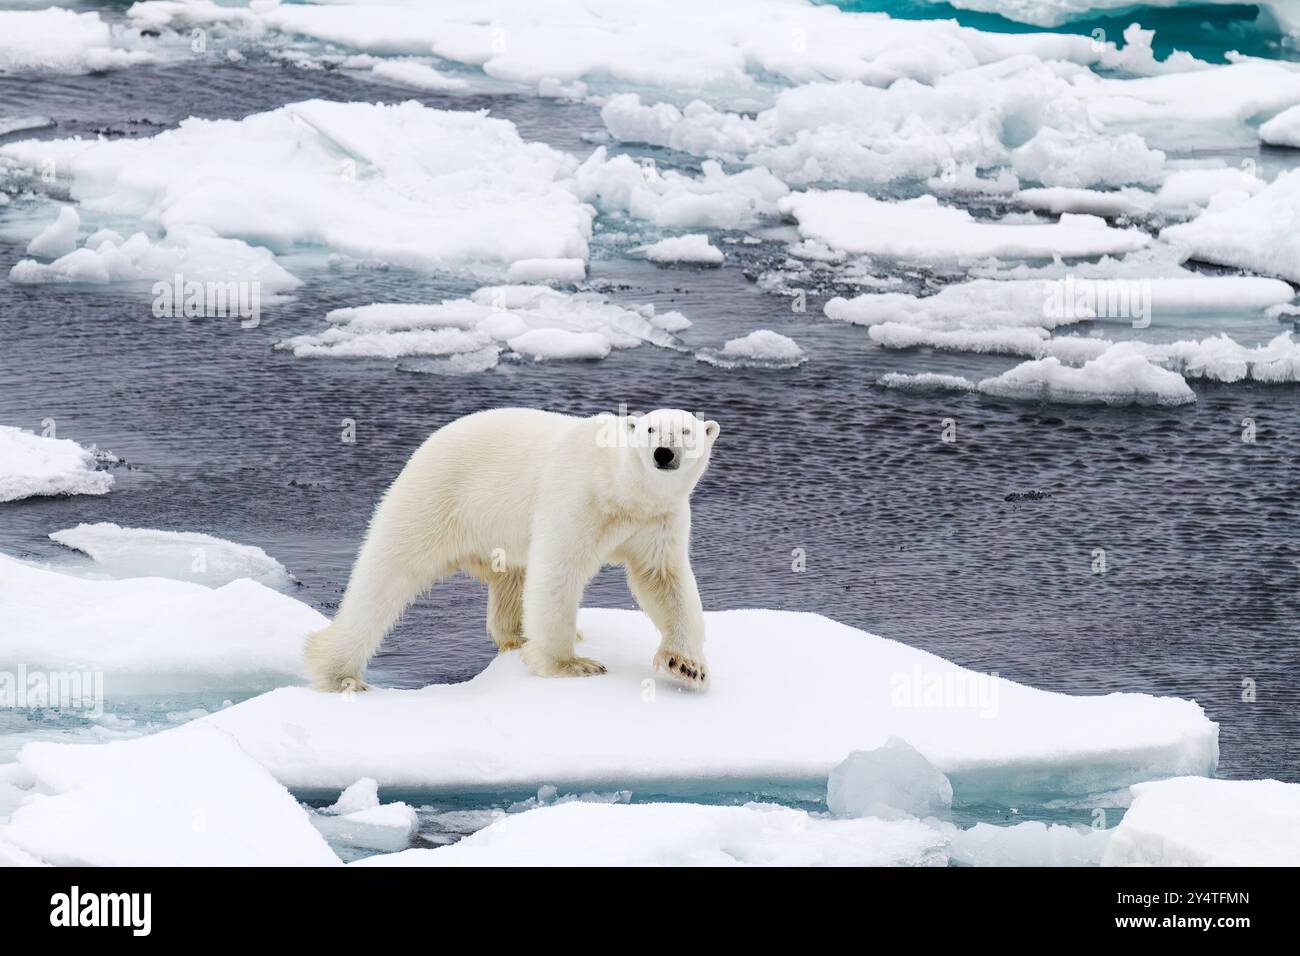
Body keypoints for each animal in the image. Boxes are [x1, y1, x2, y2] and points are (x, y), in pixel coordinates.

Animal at [309, 408, 728, 691]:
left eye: (687, 431)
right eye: (651, 429)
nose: (663, 453)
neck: (621, 490)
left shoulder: (658, 520)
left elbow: (663, 582)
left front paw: (687, 666)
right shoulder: (578, 500)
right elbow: (558, 570)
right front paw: (571, 665)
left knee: (511, 579)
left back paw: (516, 635)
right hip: (436, 497)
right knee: (385, 576)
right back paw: (339, 674)